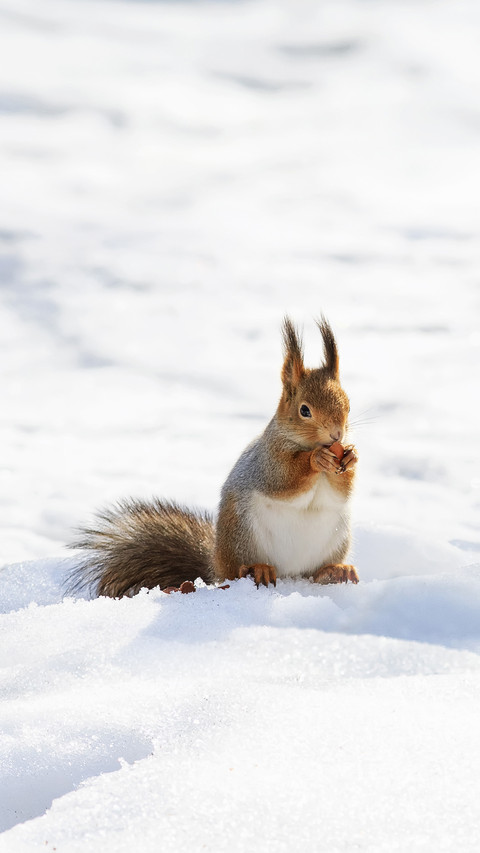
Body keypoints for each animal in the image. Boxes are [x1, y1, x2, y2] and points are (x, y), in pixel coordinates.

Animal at [67, 317, 359, 598]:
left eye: (348, 404)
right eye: (304, 410)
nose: (336, 434)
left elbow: (340, 493)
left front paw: (351, 457)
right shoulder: (267, 461)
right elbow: (285, 480)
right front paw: (316, 459)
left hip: (335, 539)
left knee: (315, 572)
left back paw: (335, 571)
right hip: (240, 536)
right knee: (236, 571)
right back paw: (258, 569)